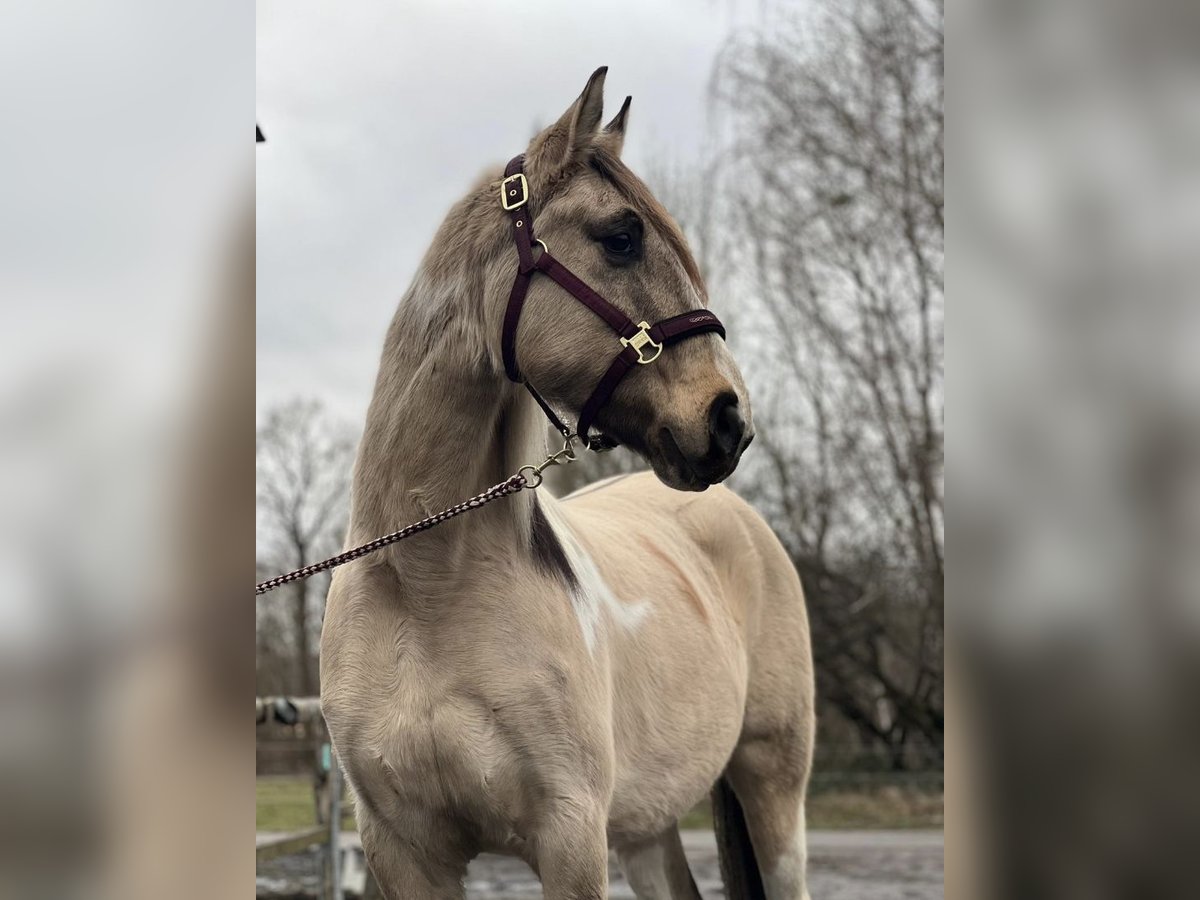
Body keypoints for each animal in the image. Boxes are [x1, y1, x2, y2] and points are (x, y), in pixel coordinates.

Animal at [319, 66, 816, 897]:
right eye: (621, 237)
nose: (728, 421)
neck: (427, 590)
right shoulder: (403, 851)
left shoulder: (570, 840)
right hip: (648, 822)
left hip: (773, 782)